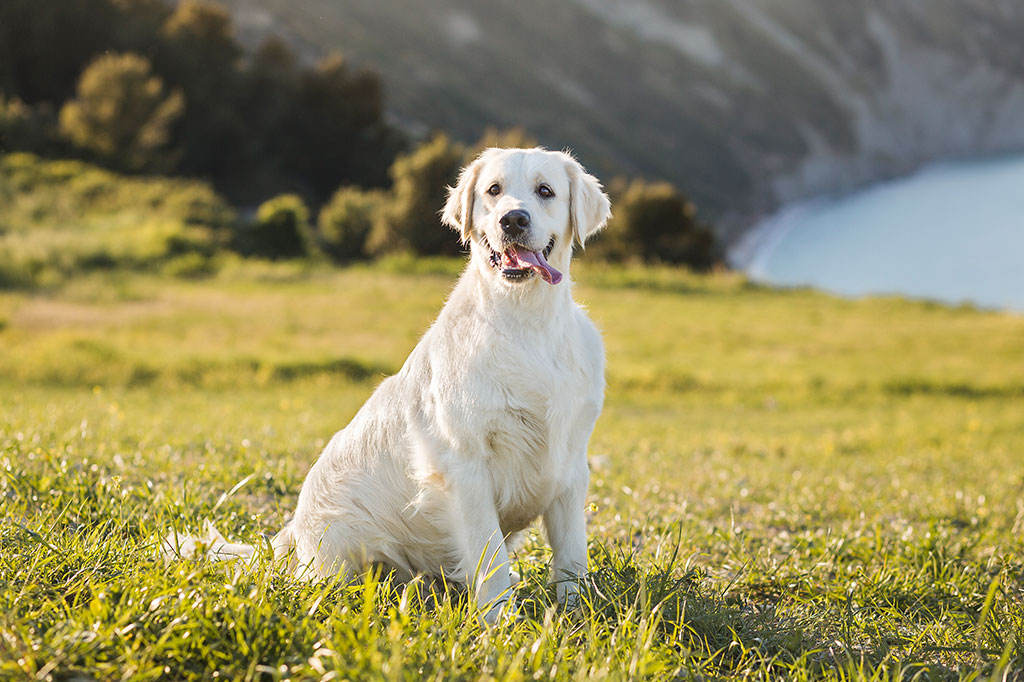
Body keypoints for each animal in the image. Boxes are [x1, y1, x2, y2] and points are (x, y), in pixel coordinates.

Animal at [169, 146, 606, 618]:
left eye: (545, 191)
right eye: (494, 190)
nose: (513, 220)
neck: (527, 321)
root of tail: (292, 533)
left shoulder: (569, 463)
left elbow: (571, 555)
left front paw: (578, 613)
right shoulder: (465, 463)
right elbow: (491, 559)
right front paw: (498, 622)